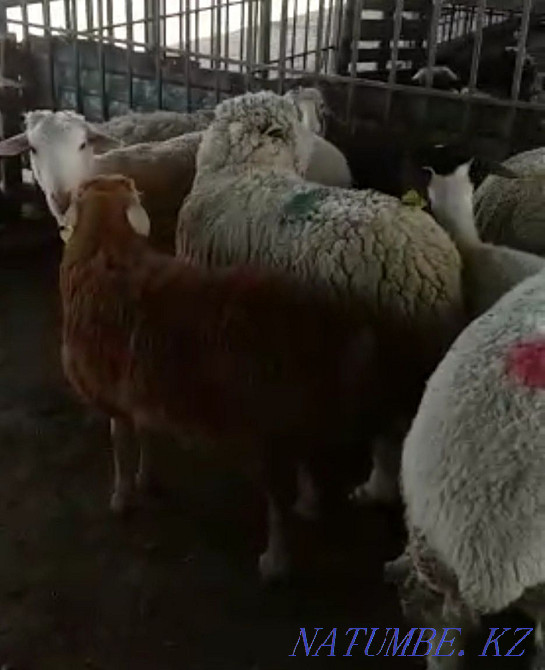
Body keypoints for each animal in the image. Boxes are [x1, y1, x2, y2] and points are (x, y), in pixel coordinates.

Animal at [59, 173, 398, 582]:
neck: (107, 247)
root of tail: (313, 323)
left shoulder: (109, 394)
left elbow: (120, 446)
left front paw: (122, 498)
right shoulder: (141, 390)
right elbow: (146, 436)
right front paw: (147, 480)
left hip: (263, 429)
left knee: (277, 500)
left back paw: (275, 562)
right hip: (294, 412)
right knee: (306, 457)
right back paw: (309, 504)